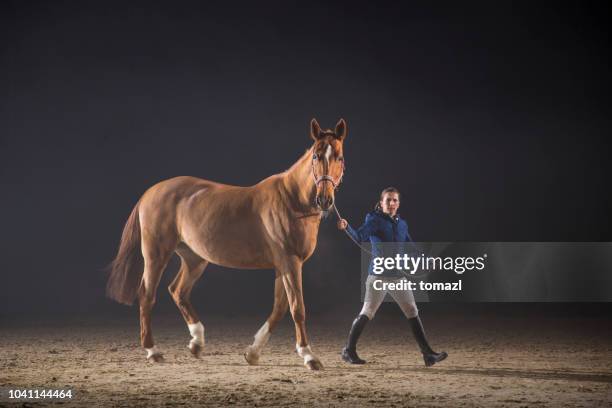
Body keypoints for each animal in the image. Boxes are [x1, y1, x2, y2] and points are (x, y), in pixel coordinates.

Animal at [107, 117, 346, 370]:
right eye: (316, 156)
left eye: (339, 157)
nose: (324, 200)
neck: (292, 200)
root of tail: (151, 192)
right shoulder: (290, 263)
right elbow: (297, 308)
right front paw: (309, 356)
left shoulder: (283, 266)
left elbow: (279, 308)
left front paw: (253, 352)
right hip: (156, 255)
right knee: (147, 295)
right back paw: (153, 351)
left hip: (195, 258)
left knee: (178, 290)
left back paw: (196, 343)